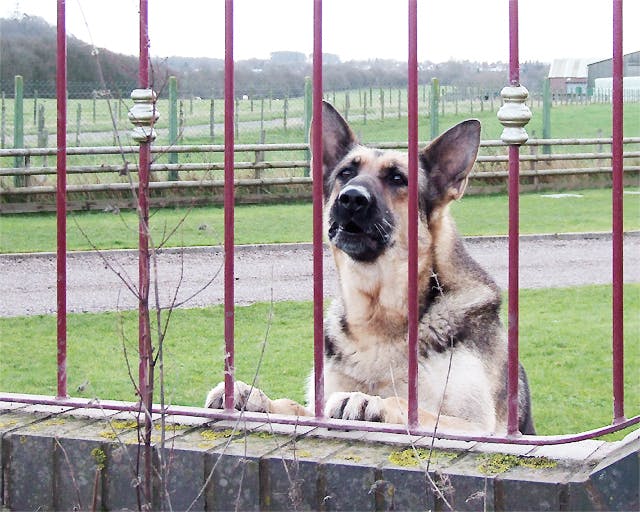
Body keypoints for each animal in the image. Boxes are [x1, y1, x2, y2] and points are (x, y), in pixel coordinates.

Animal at [206, 101, 536, 436]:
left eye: (398, 179)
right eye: (346, 173)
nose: (351, 198)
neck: (378, 313)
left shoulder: (477, 427)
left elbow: (410, 407)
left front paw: (366, 400)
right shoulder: (318, 406)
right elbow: (295, 407)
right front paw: (253, 398)